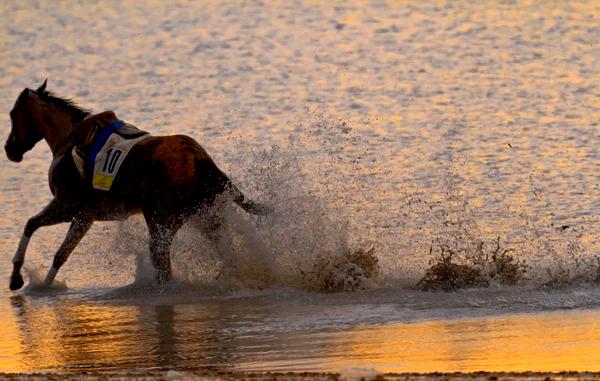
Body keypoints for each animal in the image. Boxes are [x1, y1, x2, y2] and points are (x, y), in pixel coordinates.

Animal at [4, 78, 268, 290]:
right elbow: (37, 231)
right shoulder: (80, 214)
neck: (69, 139)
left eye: (12, 114)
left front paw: (31, 282)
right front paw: (21, 278)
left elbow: (50, 244)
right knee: (224, 252)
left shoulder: (73, 210)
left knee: (164, 267)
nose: (9, 149)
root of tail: (202, 161)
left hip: (162, 225)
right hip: (205, 218)